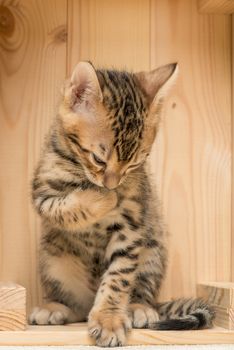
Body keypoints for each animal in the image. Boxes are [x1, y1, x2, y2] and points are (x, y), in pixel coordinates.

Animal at [28, 61, 214, 346]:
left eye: (135, 164)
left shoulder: (132, 225)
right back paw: (55, 308)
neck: (81, 171)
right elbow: (65, 207)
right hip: (53, 259)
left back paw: (139, 308)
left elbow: (118, 278)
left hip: (153, 252)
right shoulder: (42, 194)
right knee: (75, 306)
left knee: (140, 290)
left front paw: (109, 319)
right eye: (98, 158)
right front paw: (104, 198)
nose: (111, 186)